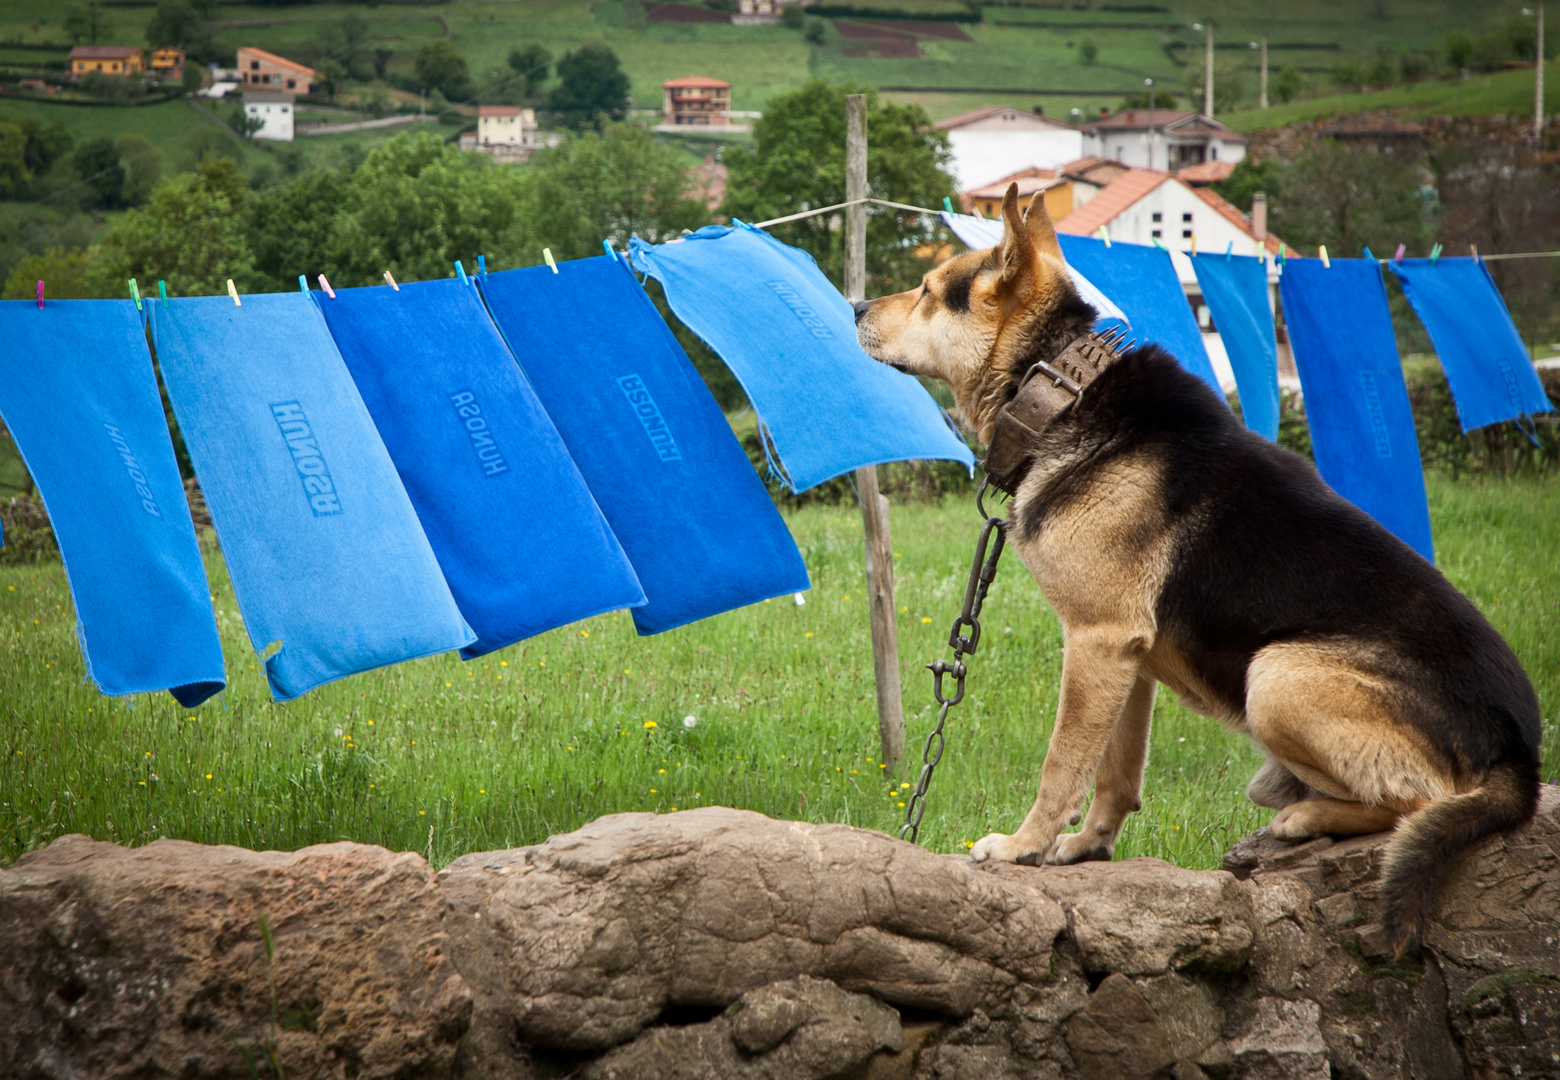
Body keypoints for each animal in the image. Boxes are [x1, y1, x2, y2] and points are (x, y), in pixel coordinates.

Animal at [861, 185, 1541, 955]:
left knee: (1421, 801)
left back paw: (1307, 816)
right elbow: (1115, 771)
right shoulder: (1123, 657)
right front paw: (1087, 847)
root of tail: (1519, 755)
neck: (1062, 387)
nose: (854, 308)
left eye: (925, 291)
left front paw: (1021, 846)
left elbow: (1062, 764)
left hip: (1275, 675)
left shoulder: (1095, 641)